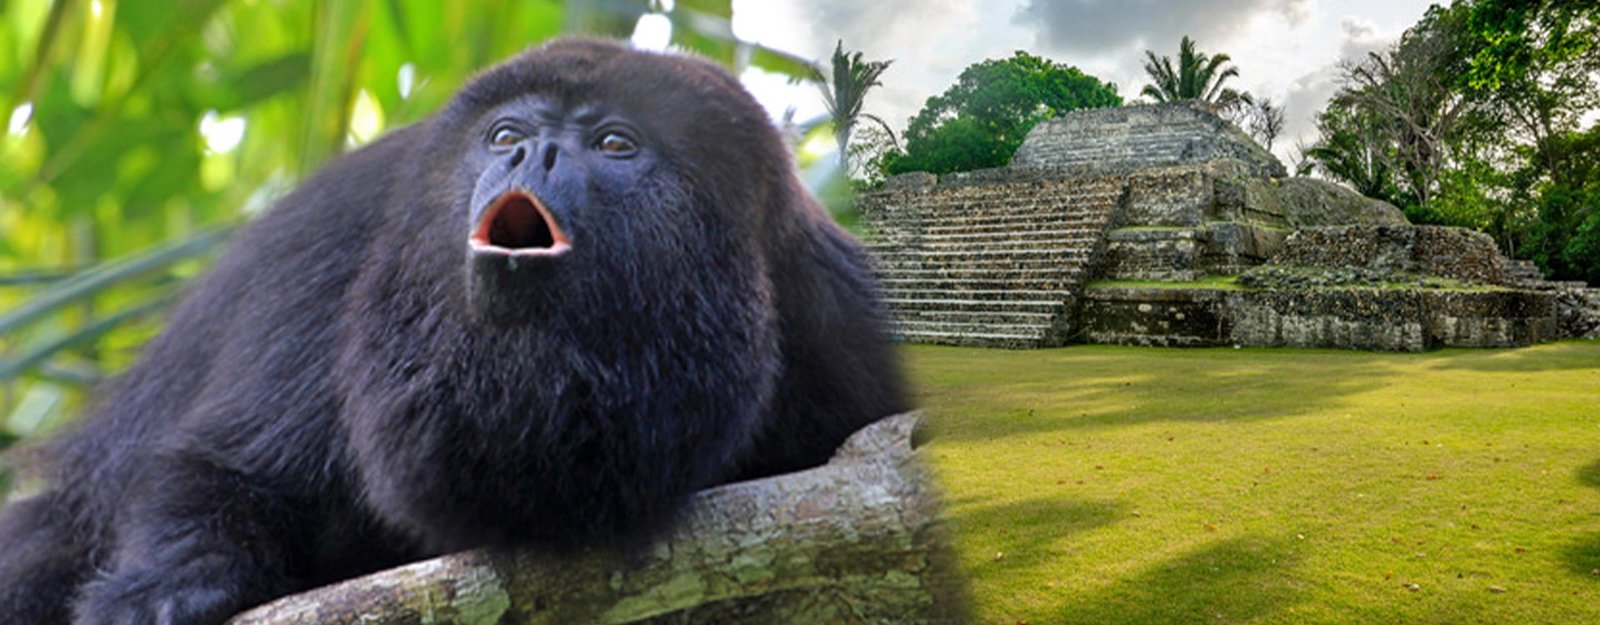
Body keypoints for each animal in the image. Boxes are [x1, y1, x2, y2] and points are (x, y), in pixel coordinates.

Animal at [0, 38, 908, 625]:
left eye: (615, 142)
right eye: (505, 135)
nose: (532, 154)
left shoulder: (835, 303)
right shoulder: (340, 250)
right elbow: (227, 463)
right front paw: (168, 585)